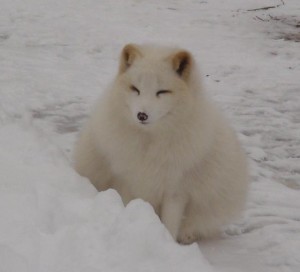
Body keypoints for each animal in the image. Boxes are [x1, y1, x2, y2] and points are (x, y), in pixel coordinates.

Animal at [73, 44, 248, 244]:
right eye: (135, 89)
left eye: (162, 92)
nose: (142, 115)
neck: (150, 144)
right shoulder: (125, 181)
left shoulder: (176, 191)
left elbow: (170, 224)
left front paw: (168, 243)